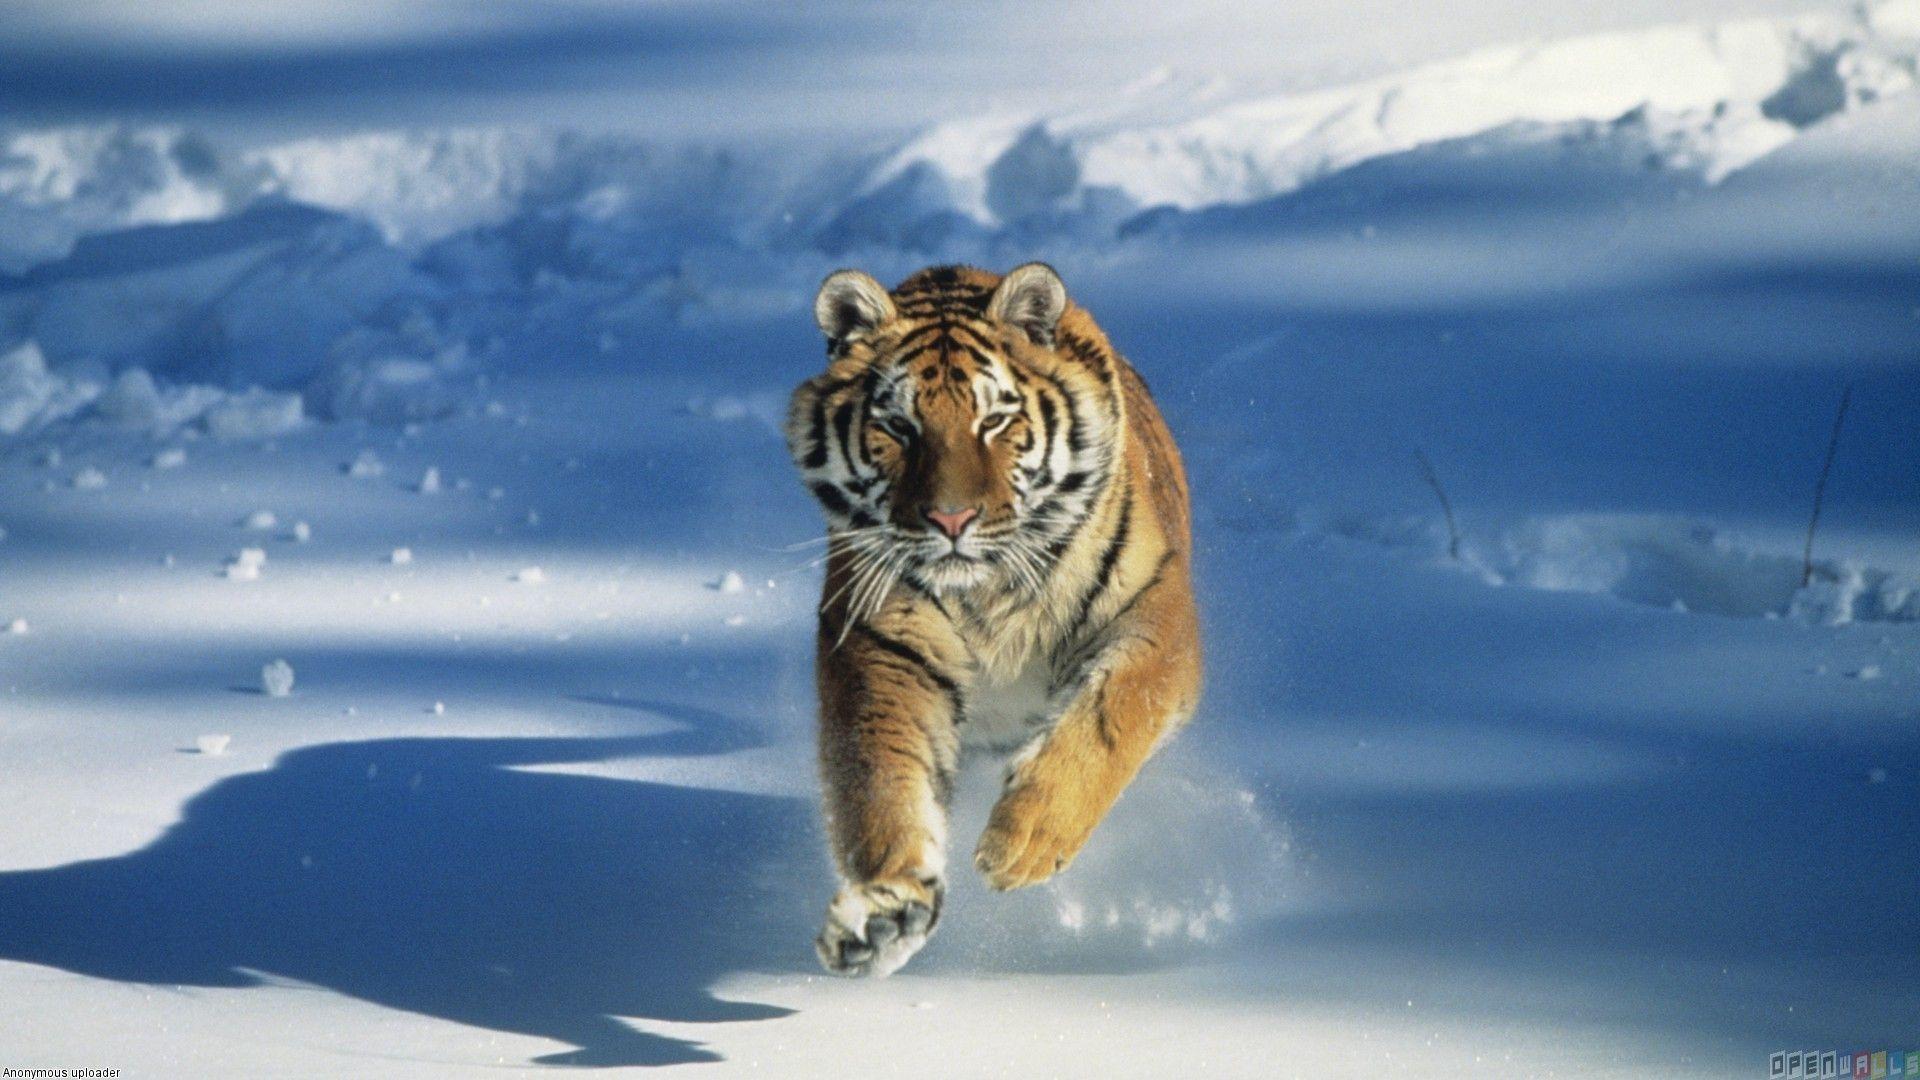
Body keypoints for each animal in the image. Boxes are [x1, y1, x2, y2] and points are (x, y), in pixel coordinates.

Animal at [786, 263, 1202, 977]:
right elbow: (881, 780)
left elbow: (1112, 715)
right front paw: (884, 915)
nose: (951, 520)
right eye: (899, 426)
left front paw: (1024, 841)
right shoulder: (882, 646)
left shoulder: (1156, 615)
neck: (989, 594)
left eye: (995, 420)